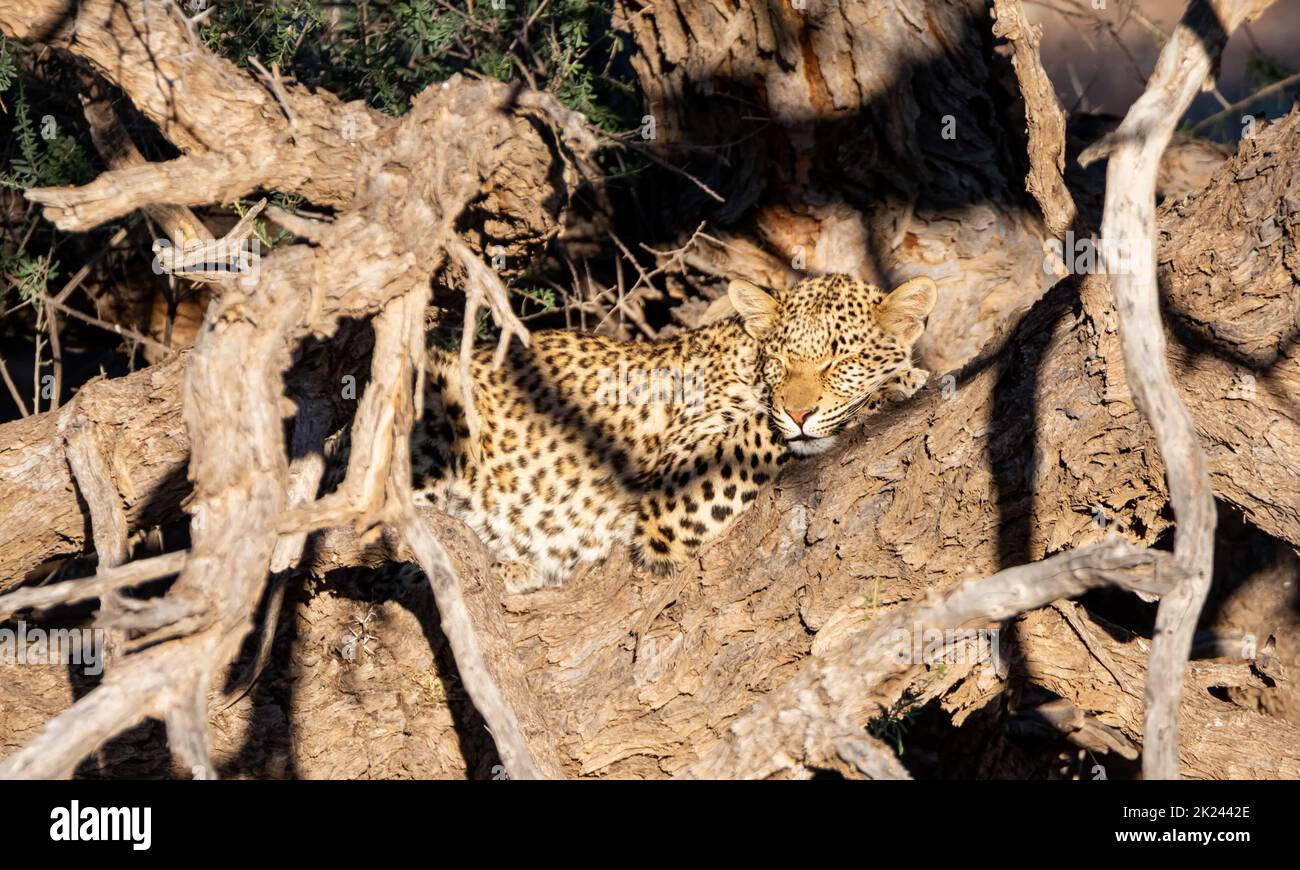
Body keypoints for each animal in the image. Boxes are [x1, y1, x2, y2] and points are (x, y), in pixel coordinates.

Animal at [408, 273, 938, 593]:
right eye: (781, 362)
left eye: (841, 361)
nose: (800, 413)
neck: (747, 365)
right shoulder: (673, 491)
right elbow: (760, 428)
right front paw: (900, 382)